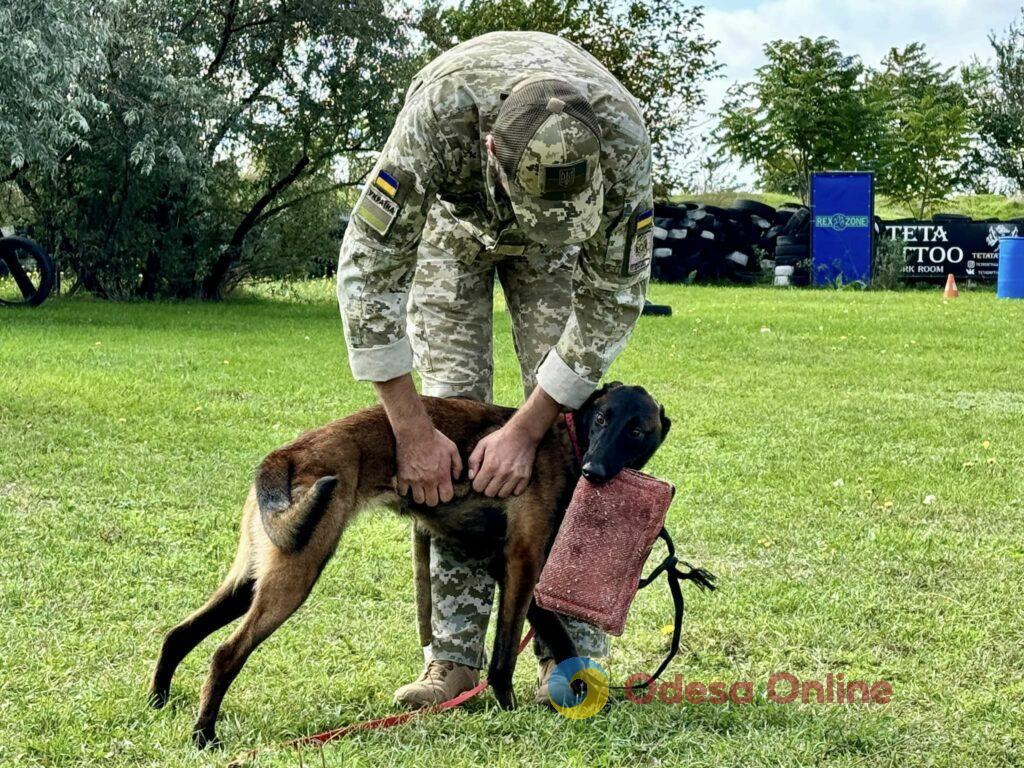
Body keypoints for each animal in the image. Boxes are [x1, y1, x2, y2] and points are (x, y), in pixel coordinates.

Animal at [146, 382, 671, 749]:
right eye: (601, 418)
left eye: (636, 430)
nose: (593, 472)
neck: (566, 442)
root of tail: (286, 453)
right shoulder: (522, 563)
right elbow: (504, 653)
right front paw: (509, 710)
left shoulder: (516, 569)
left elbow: (560, 638)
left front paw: (588, 695)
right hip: (295, 575)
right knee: (224, 654)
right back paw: (204, 736)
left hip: (252, 576)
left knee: (179, 634)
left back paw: (158, 702)